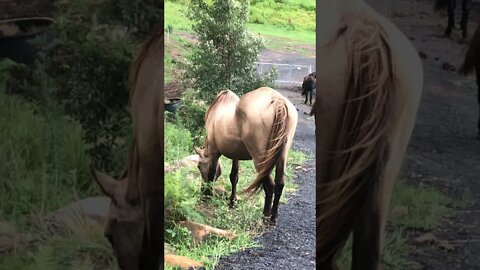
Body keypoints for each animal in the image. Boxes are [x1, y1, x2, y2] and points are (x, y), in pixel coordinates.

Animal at [193, 87, 298, 225]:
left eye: (199, 166)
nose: (202, 190)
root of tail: (277, 101)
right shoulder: (236, 155)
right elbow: (234, 177)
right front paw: (232, 202)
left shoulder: (214, 152)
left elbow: (211, 174)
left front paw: (208, 196)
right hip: (281, 156)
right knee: (279, 184)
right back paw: (273, 217)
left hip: (261, 160)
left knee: (269, 186)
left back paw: (265, 217)